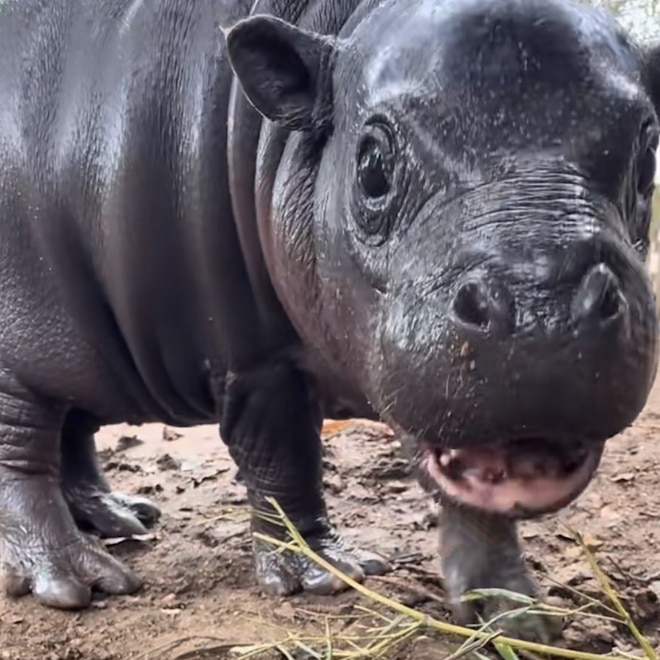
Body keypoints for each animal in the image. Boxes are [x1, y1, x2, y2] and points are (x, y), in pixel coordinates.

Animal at [0, 0, 659, 643]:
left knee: (71, 431)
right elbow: (283, 460)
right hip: (23, 353)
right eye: (372, 165)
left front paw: (522, 620)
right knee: (24, 454)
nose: (540, 306)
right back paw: (78, 581)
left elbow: (481, 508)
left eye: (649, 152)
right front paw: (325, 575)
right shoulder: (256, 360)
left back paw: (121, 517)